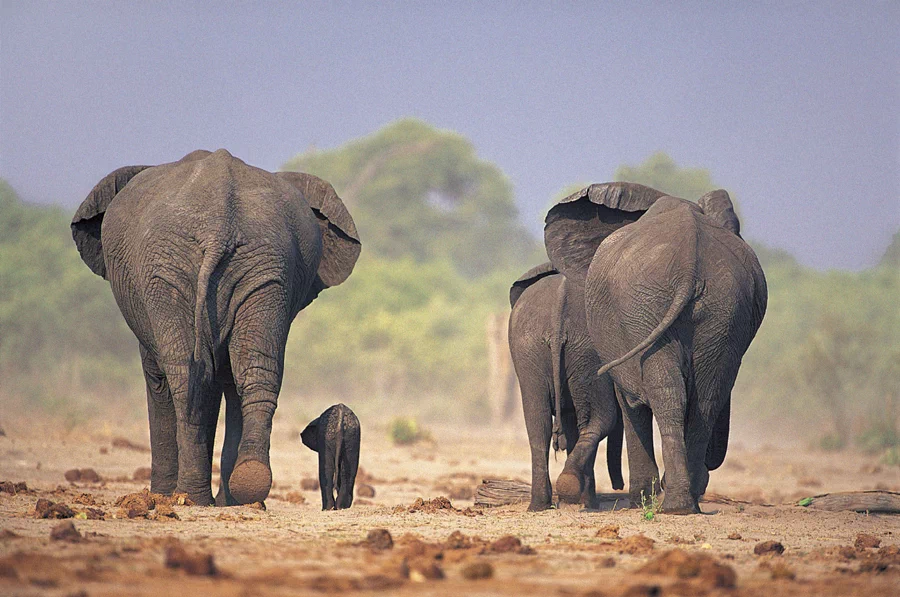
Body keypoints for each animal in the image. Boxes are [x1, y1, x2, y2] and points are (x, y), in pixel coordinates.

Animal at [70, 148, 360, 502]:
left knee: (184, 377)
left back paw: (189, 497)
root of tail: (220, 221)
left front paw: (164, 497)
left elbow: (161, 380)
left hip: (168, 272)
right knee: (254, 370)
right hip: (265, 267)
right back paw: (248, 485)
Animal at [506, 260, 624, 512]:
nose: (618, 486)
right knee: (598, 418)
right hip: (588, 352)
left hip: (529, 347)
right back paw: (584, 500)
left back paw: (539, 506)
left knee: (537, 422)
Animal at [540, 184, 768, 516]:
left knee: (668, 393)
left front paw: (640, 499)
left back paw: (671, 502)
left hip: (647, 306)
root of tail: (690, 261)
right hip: (718, 308)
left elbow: (630, 401)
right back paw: (684, 502)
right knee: (704, 396)